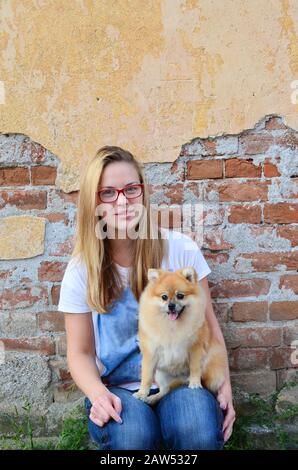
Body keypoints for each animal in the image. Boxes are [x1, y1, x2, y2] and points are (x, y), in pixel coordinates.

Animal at [133, 266, 226, 406]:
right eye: (164, 297)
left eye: (180, 296)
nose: (171, 305)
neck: (173, 325)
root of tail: (180, 379)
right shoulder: (151, 353)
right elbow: (147, 376)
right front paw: (142, 393)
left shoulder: (195, 348)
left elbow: (194, 367)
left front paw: (194, 382)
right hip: (161, 374)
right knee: (165, 390)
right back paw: (152, 398)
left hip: (210, 365)